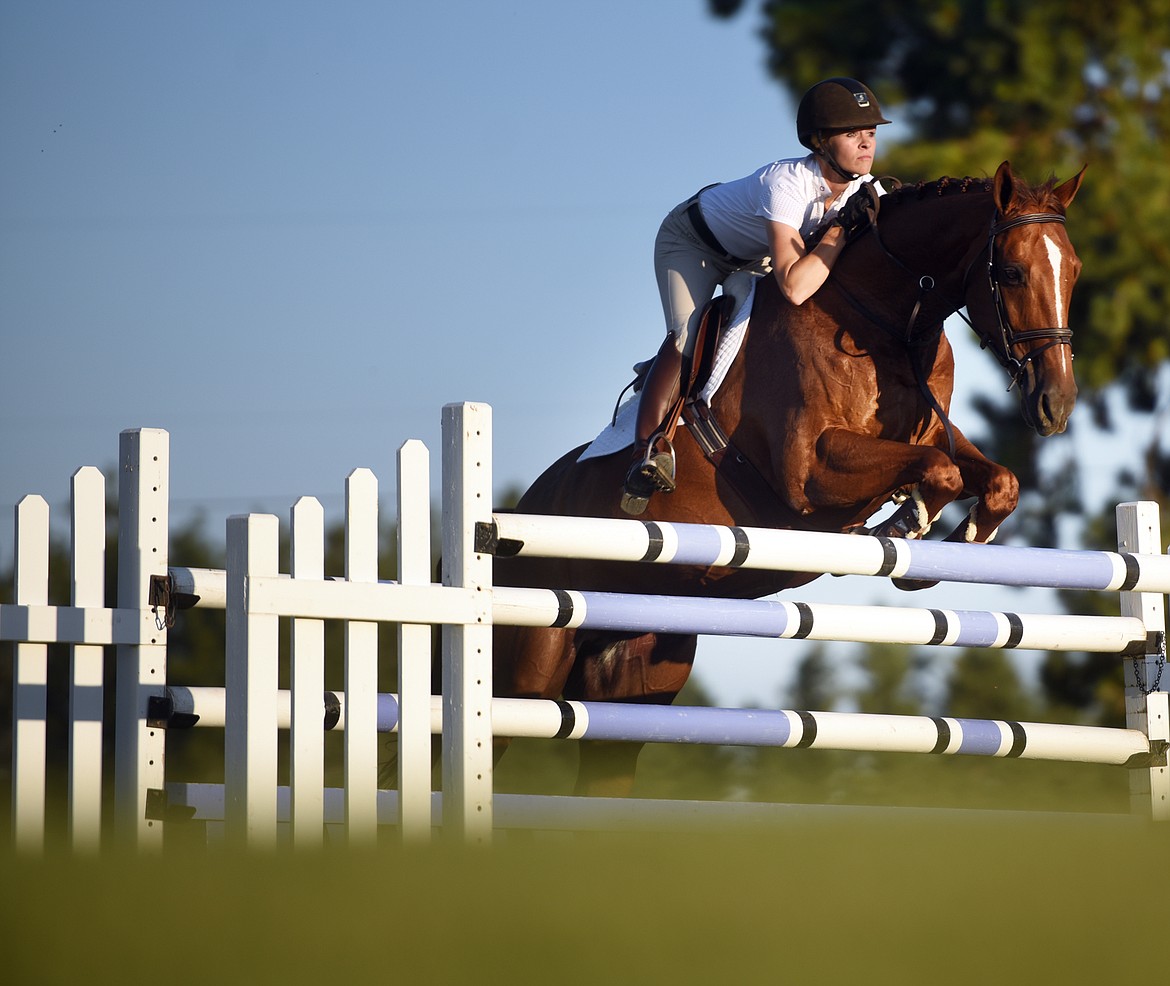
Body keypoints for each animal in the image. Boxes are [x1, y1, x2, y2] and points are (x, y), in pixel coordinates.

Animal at [489, 160, 1081, 795]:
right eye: (1013, 272)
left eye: (1073, 271)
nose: (1057, 403)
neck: (884, 318)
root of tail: (510, 517)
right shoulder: (809, 472)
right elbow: (939, 473)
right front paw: (902, 525)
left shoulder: (930, 436)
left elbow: (997, 481)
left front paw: (949, 546)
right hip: (524, 671)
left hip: (633, 680)